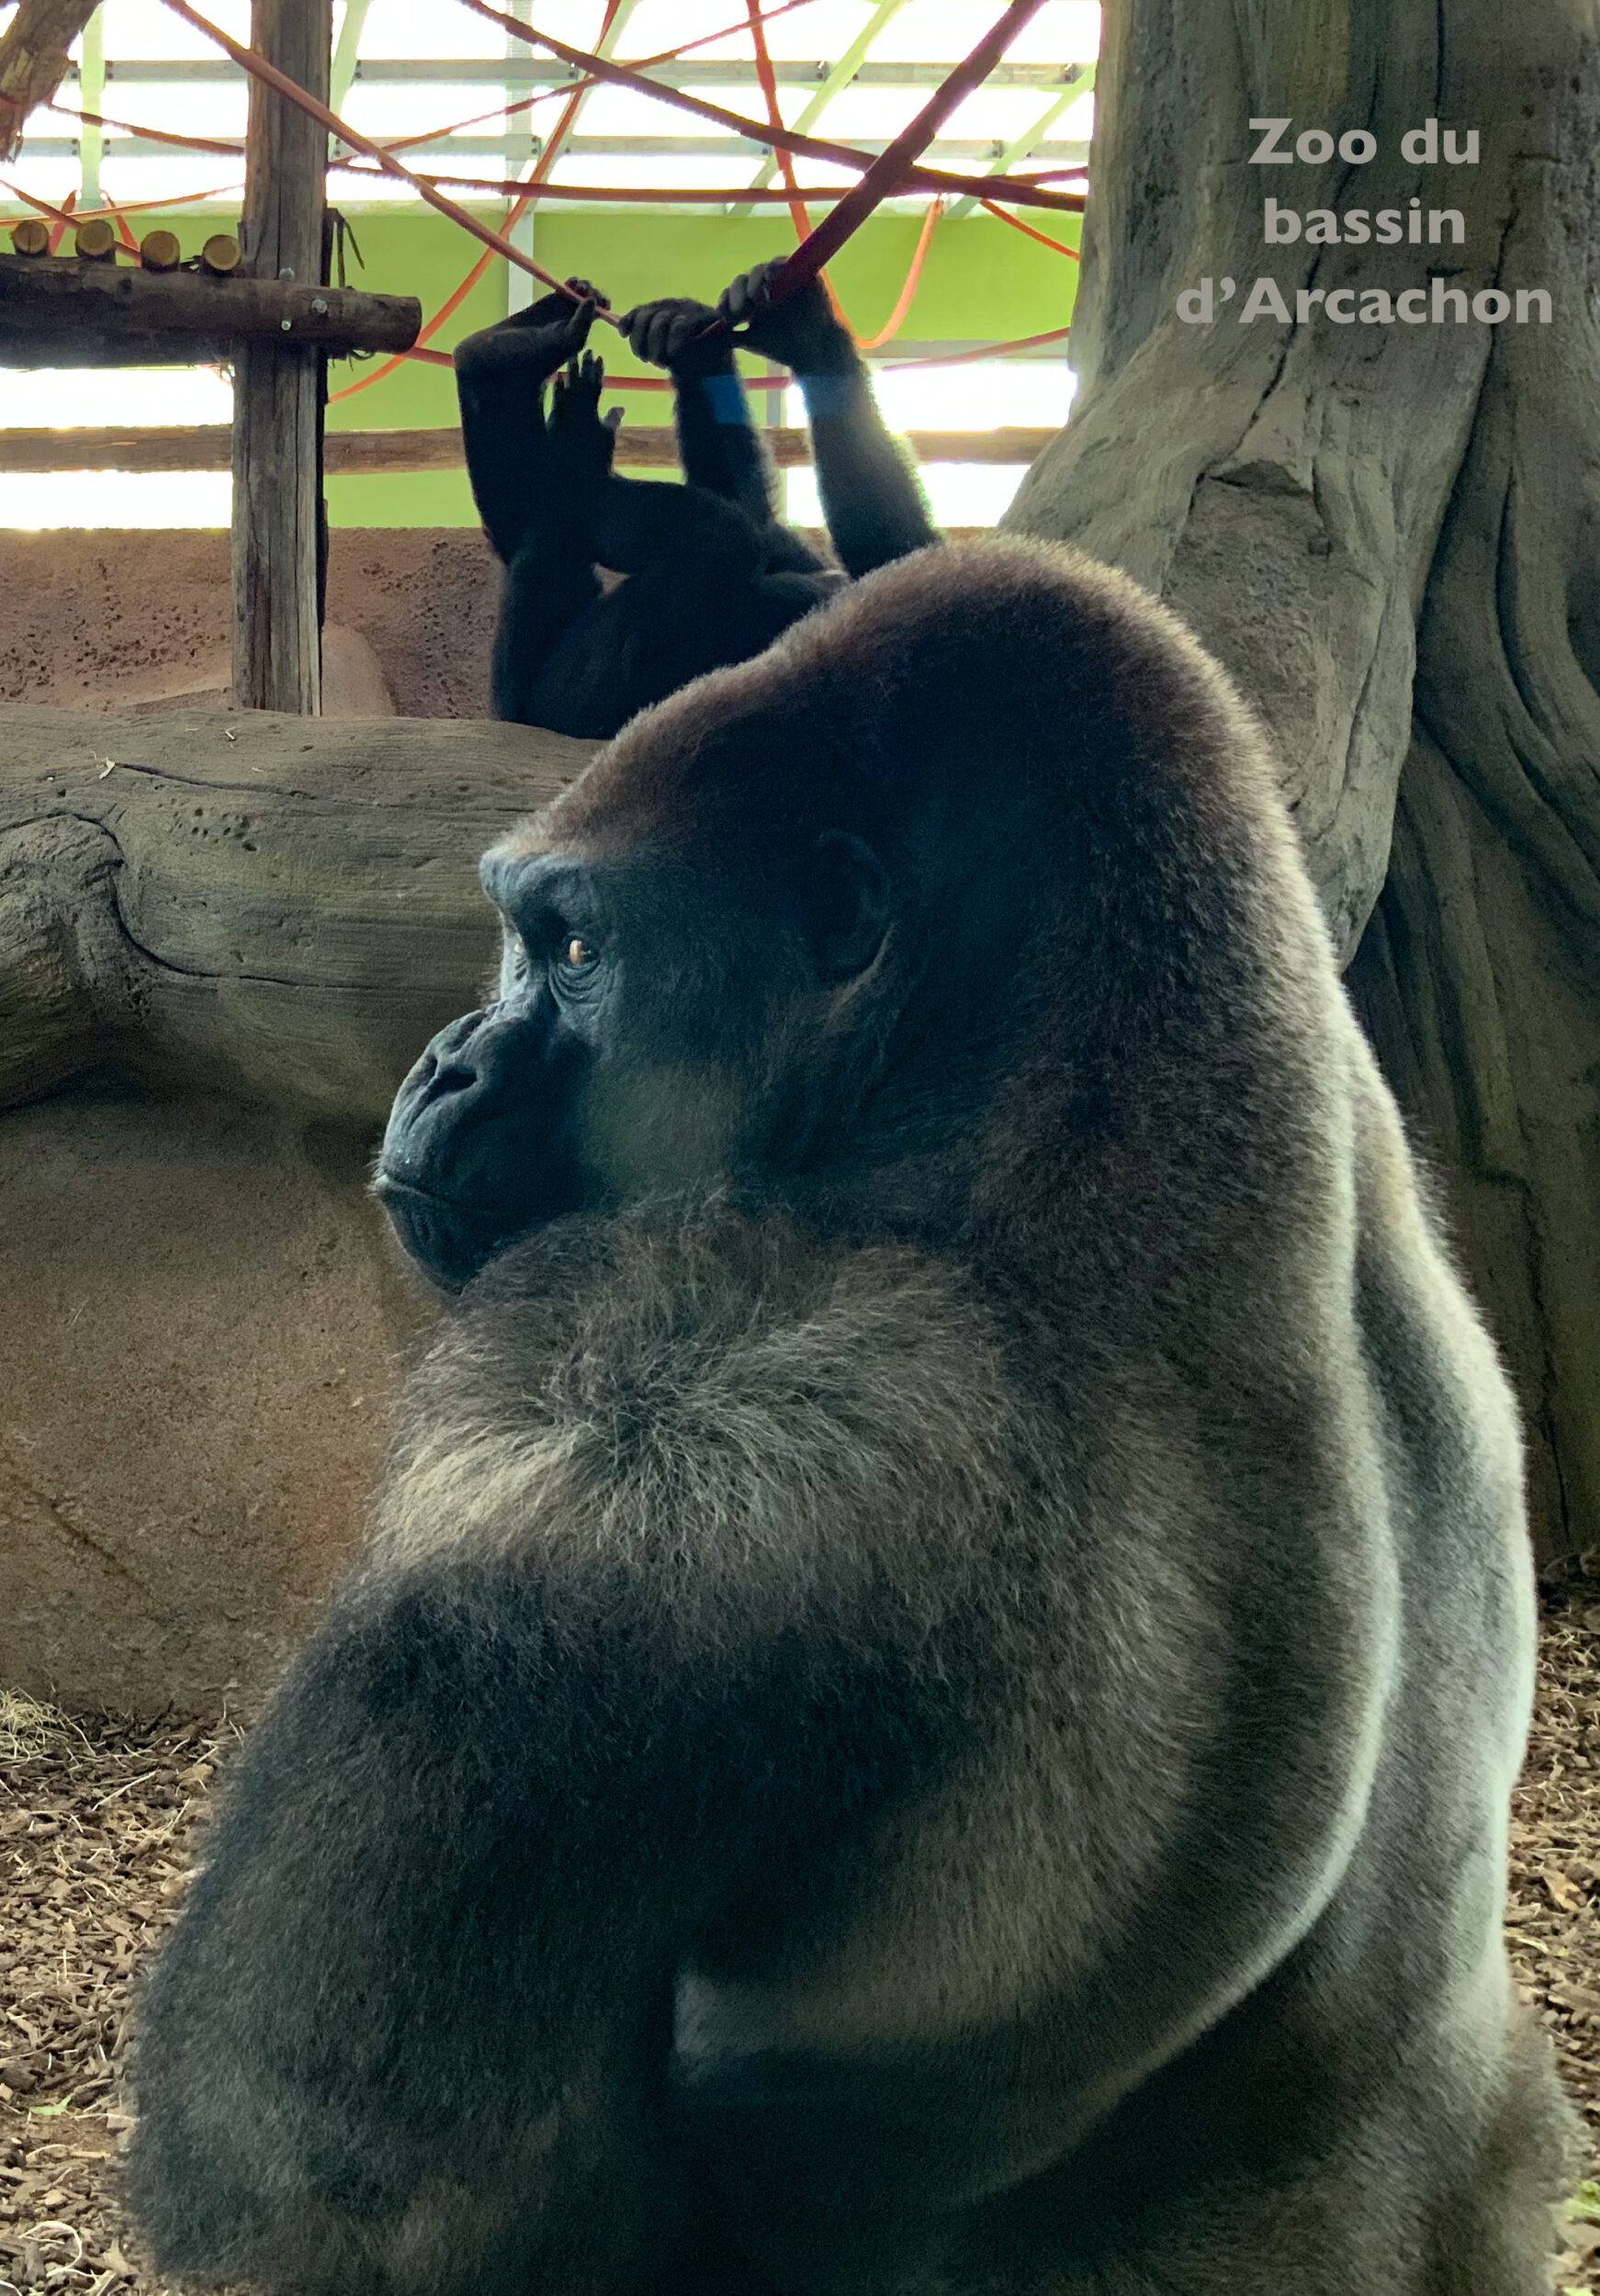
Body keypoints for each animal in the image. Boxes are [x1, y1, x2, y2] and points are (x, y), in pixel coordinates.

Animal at [125, 536, 1575, 2296]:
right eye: (521, 940)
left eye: (576, 952)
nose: (450, 1065)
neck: (1049, 1073)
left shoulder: (651, 1368)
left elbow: (340, 2176)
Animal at [452, 258, 937, 736]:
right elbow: (758, 513)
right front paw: (783, 328)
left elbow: (896, 566)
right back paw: (504, 357)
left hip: (548, 698)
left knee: (714, 536)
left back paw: (563, 450)